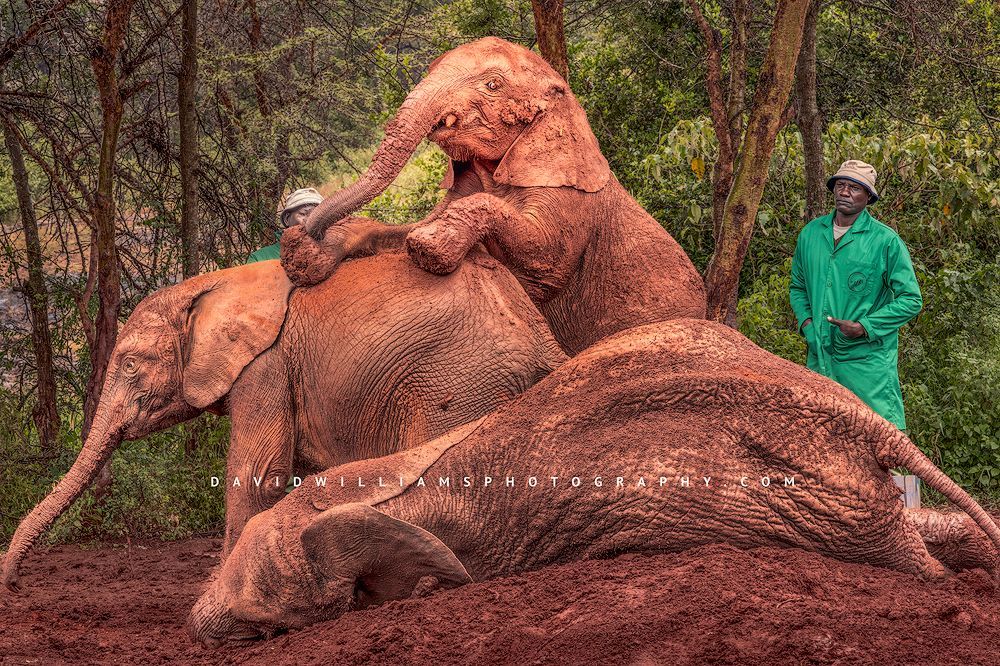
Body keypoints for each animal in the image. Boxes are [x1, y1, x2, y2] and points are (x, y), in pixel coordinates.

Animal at [1, 250, 567, 591]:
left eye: (131, 364)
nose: (12, 584)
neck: (213, 284)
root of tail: (542, 341)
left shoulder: (265, 367)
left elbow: (256, 474)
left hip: (460, 383)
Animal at [282, 36, 706, 355]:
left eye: (492, 85)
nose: (309, 227)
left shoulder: (568, 192)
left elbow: (545, 260)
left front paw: (430, 246)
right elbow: (402, 231)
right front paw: (304, 256)